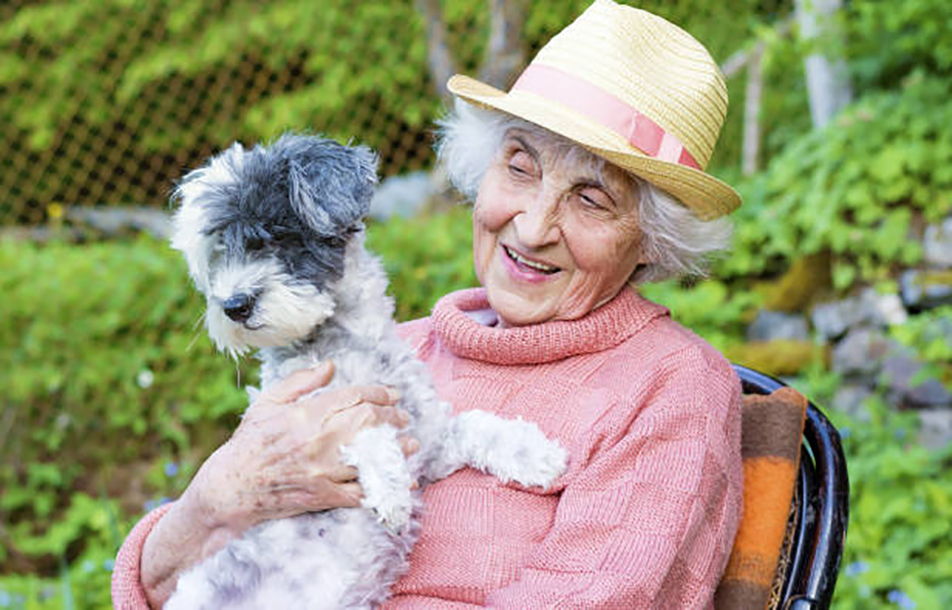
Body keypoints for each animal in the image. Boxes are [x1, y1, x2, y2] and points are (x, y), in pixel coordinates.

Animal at [167, 134, 564, 608]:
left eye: (276, 236)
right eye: (218, 252)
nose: (233, 305)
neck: (350, 343)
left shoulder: (430, 442)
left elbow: (475, 425)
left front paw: (535, 453)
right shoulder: (317, 413)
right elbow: (366, 427)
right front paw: (389, 492)